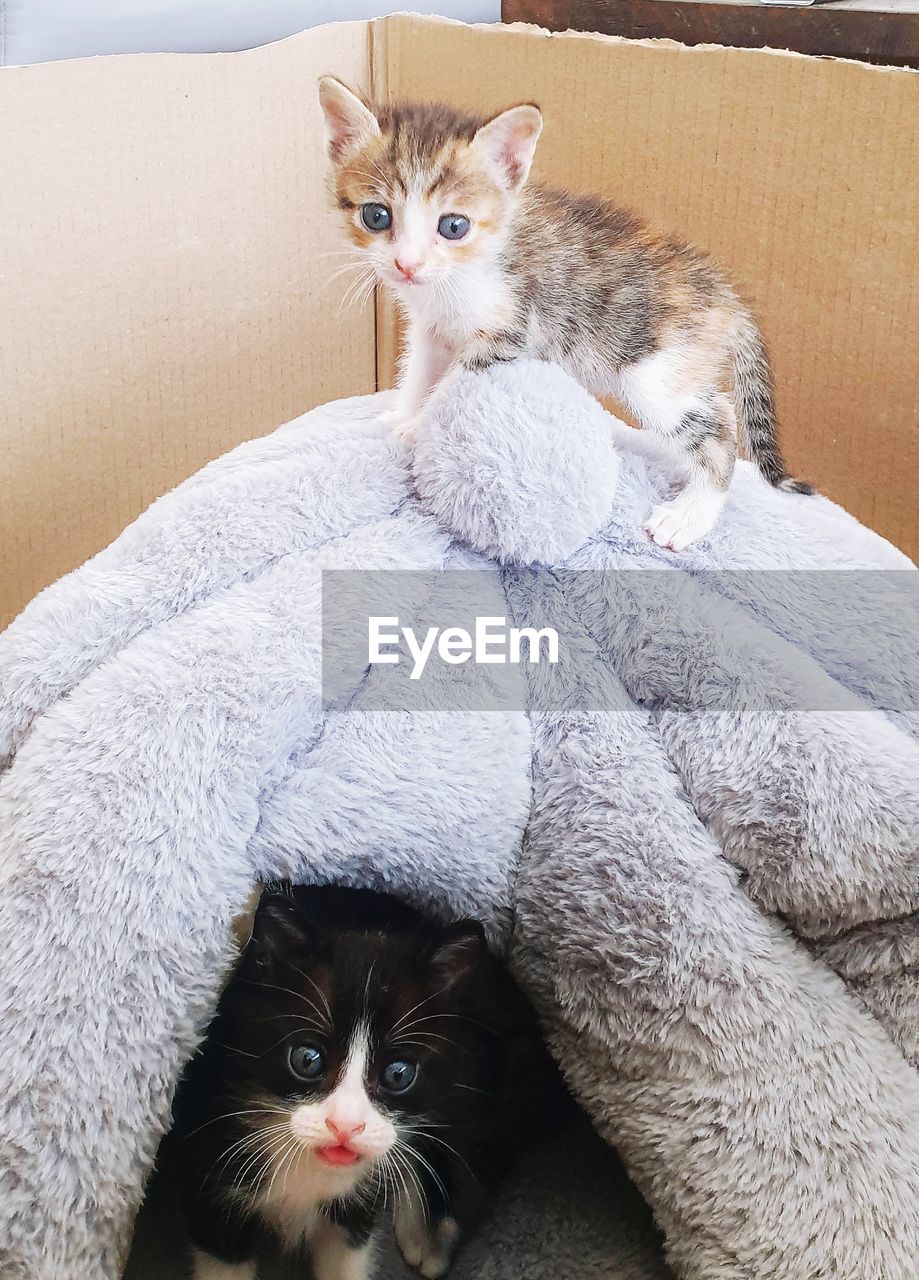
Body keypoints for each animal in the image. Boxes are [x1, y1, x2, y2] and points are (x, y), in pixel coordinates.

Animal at [168, 890, 506, 1280]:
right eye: (306, 1059)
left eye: (399, 1074)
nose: (345, 1126)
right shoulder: (210, 1184)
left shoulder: (353, 1214)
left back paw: (428, 1235)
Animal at [319, 76, 808, 550]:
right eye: (376, 216)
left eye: (454, 226)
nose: (407, 264)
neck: (461, 275)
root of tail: (727, 295)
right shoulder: (431, 329)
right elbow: (421, 373)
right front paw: (399, 416)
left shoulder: (509, 328)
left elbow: (451, 387)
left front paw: (416, 427)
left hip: (656, 376)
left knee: (722, 427)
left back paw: (688, 517)